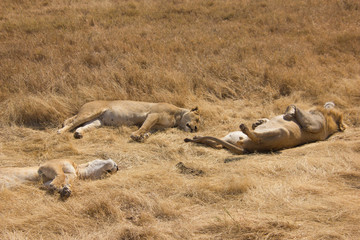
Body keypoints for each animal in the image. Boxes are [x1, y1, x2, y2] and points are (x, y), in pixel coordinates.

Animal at [57, 100, 201, 142]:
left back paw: (78, 134)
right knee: (71, 122)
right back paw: (61, 131)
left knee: (81, 127)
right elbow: (144, 126)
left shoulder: (157, 126)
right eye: (198, 119)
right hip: (90, 112)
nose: (196, 129)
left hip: (96, 122)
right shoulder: (153, 115)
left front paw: (143, 137)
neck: (177, 118)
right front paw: (136, 135)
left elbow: (149, 131)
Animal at [186, 102, 346, 155]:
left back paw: (245, 130)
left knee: (256, 138)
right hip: (229, 136)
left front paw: (289, 113)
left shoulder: (313, 125)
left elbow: (293, 105)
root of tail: (246, 149)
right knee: (217, 144)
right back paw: (196, 137)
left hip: (282, 132)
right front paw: (258, 122)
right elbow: (268, 119)